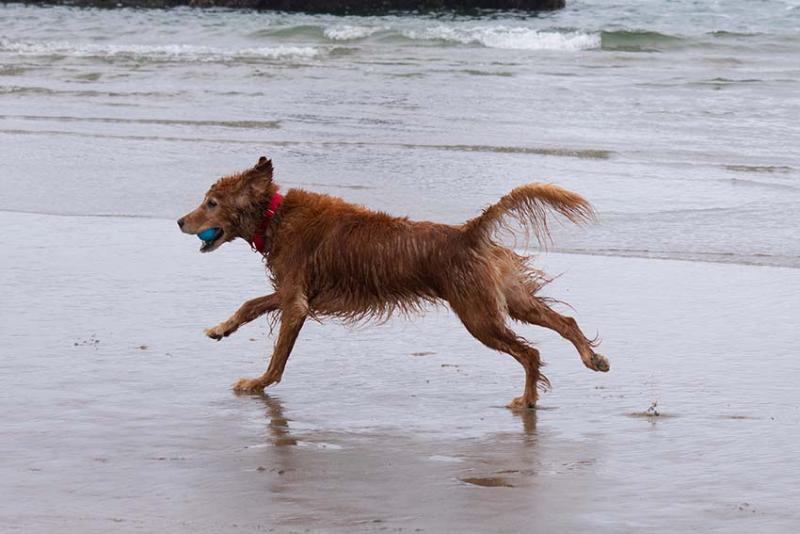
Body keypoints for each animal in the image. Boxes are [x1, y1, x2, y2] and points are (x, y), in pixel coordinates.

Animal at [178, 156, 608, 410]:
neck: (273, 214)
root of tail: (467, 232)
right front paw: (222, 328)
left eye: (211, 203)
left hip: (478, 315)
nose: (180, 221)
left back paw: (529, 398)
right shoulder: (292, 291)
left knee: (530, 352)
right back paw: (592, 358)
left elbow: (277, 356)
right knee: (564, 322)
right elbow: (250, 304)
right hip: (508, 299)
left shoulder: (296, 301)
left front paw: (258, 383)